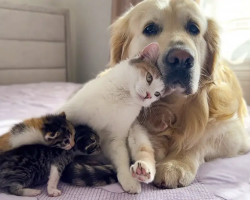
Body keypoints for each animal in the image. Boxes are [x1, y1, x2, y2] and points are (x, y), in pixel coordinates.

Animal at [57, 42, 166, 194]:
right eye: (149, 78)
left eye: (157, 94)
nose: (149, 96)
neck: (121, 98)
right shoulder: (68, 112)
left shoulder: (115, 137)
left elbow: (121, 158)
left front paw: (127, 179)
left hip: (137, 132)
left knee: (144, 152)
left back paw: (142, 171)